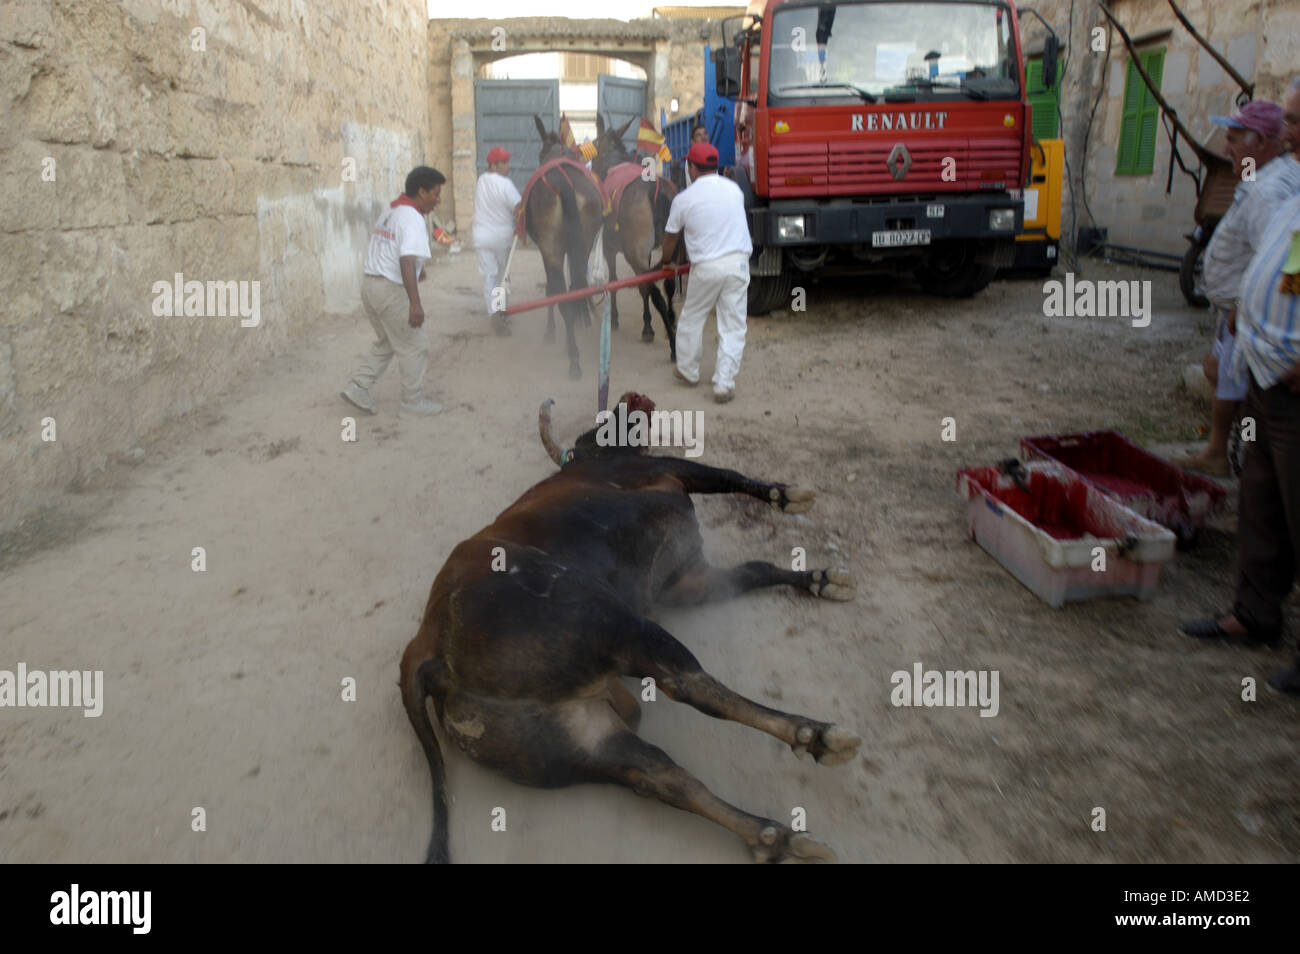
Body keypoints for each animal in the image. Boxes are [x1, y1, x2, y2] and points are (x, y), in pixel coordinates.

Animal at [395, 395, 863, 868]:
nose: (633, 401)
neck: (590, 461)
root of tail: (427, 644)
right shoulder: (665, 471)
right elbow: (727, 476)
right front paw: (787, 496)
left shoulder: (688, 581)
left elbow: (756, 570)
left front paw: (822, 579)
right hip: (614, 626)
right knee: (688, 685)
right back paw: (815, 736)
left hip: (581, 740)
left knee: (660, 777)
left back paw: (776, 837)